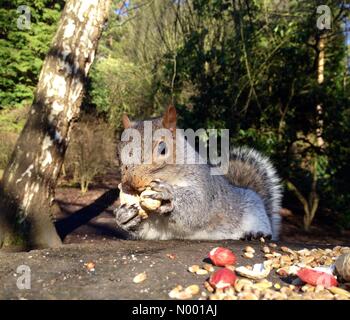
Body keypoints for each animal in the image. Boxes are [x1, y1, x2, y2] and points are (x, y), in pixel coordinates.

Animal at [114, 107, 282, 240]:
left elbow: (198, 207)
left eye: (163, 149)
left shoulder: (204, 186)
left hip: (255, 211)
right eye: (118, 152)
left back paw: (257, 234)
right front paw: (124, 217)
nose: (130, 185)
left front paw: (168, 195)